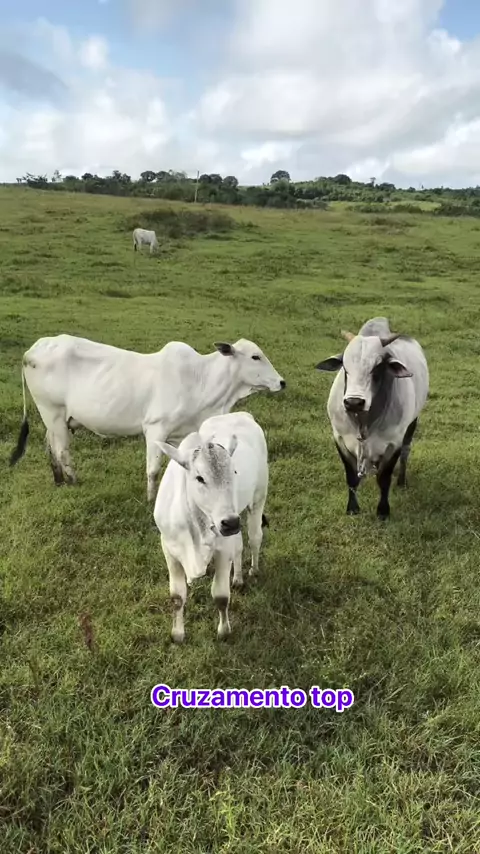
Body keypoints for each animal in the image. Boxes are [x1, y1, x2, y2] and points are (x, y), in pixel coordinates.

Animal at [9, 335, 285, 501]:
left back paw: (58, 480)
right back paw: (74, 482)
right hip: (52, 412)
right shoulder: (155, 428)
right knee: (62, 450)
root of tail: (31, 351)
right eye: (255, 356)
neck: (201, 380)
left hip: (57, 418)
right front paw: (151, 499)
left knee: (50, 446)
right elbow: (152, 470)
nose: (282, 382)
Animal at [153, 411, 269, 643]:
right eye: (200, 478)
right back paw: (238, 578)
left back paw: (252, 570)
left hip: (258, 498)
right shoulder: (168, 548)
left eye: (234, 472)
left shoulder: (222, 549)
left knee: (254, 538)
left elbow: (221, 596)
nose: (230, 522)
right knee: (239, 545)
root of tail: (241, 414)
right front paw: (177, 634)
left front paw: (224, 632)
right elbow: (177, 596)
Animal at [315, 317, 429, 520]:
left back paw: (401, 481)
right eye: (345, 367)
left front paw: (383, 511)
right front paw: (352, 508)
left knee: (406, 452)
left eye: (377, 367)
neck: (364, 421)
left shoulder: (394, 443)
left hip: (412, 424)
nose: (353, 402)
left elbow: (384, 479)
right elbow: (351, 478)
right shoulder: (339, 438)